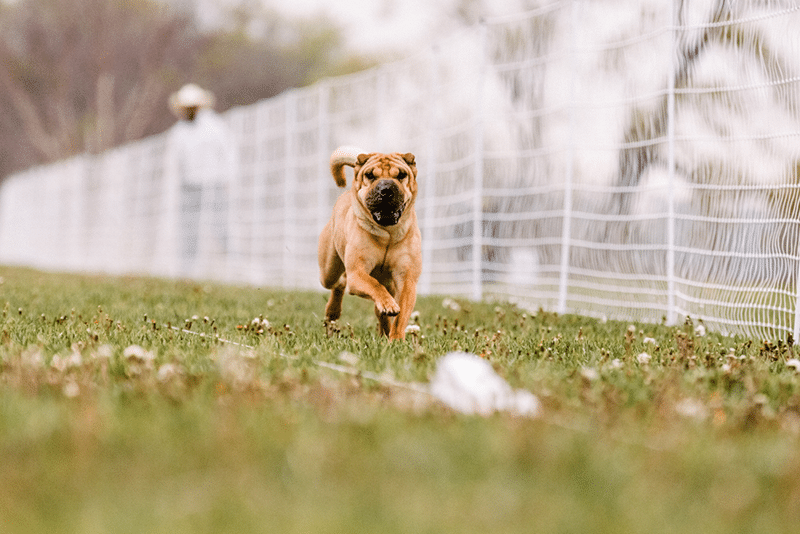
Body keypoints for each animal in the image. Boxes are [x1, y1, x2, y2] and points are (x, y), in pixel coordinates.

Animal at [318, 147, 422, 342]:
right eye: (370, 175)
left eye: (402, 175)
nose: (386, 188)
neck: (387, 234)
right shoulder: (358, 272)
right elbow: (374, 285)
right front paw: (387, 304)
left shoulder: (406, 279)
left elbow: (401, 315)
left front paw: (396, 339)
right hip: (328, 271)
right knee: (339, 283)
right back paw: (333, 311)